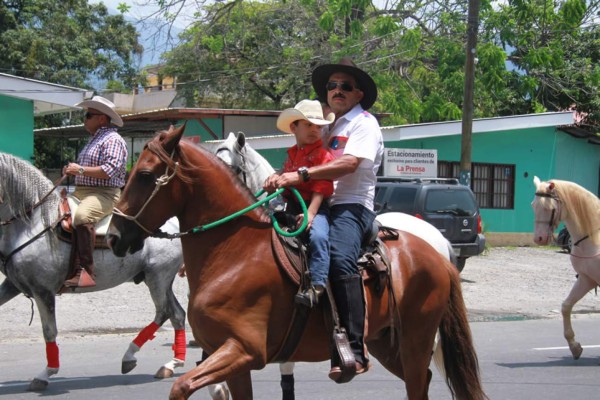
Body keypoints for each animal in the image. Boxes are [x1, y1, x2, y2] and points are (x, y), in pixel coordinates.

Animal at [0, 152, 190, 390]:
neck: (32, 223)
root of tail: (174, 226)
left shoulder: (43, 291)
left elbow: (49, 331)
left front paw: (45, 374)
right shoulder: (12, 285)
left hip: (158, 277)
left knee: (164, 312)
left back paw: (130, 356)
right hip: (158, 279)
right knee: (177, 314)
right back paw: (171, 364)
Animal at [106, 126, 488, 400]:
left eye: (145, 174)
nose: (112, 236)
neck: (233, 252)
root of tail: (435, 253)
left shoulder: (243, 350)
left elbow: (182, 387)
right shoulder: (232, 359)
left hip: (415, 340)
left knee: (417, 382)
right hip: (385, 342)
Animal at [532, 175, 596, 360]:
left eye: (550, 208)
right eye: (533, 205)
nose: (538, 238)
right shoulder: (586, 279)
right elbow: (566, 306)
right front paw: (574, 346)